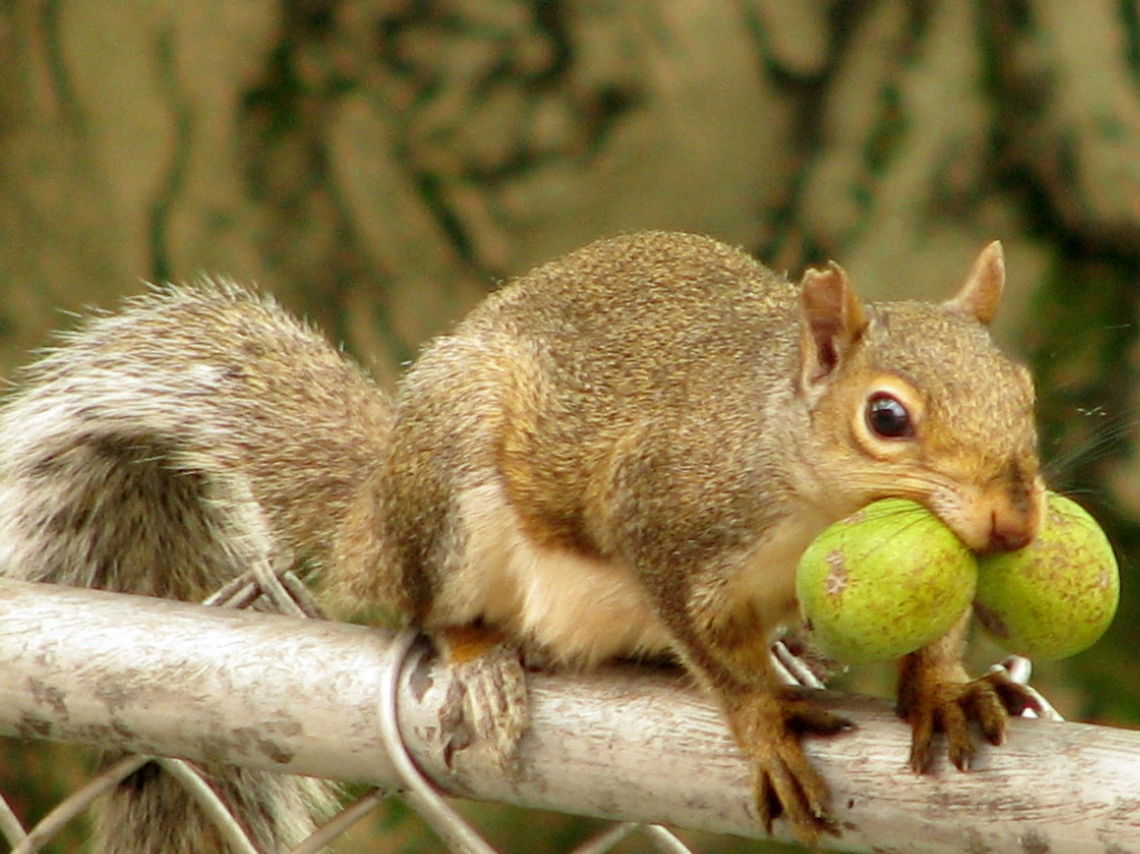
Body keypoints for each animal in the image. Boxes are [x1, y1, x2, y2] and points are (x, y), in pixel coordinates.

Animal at [0, 231, 1043, 850]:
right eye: (885, 418)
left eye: (1024, 391)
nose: (1016, 521)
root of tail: (372, 518)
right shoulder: (664, 513)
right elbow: (710, 647)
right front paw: (763, 722)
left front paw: (944, 688)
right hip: (452, 501)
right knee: (429, 608)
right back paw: (481, 662)